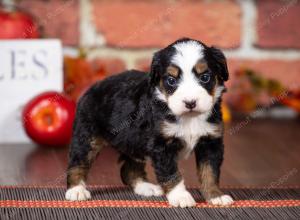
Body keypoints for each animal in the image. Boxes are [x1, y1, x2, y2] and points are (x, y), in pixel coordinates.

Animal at [65, 38, 234, 208]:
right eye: (171, 80)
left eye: (205, 77)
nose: (190, 102)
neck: (189, 118)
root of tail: (91, 88)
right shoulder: (162, 145)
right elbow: (171, 173)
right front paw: (181, 197)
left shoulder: (211, 141)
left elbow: (210, 171)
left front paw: (215, 195)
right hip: (87, 136)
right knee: (78, 162)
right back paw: (76, 190)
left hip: (134, 142)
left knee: (129, 169)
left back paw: (145, 187)